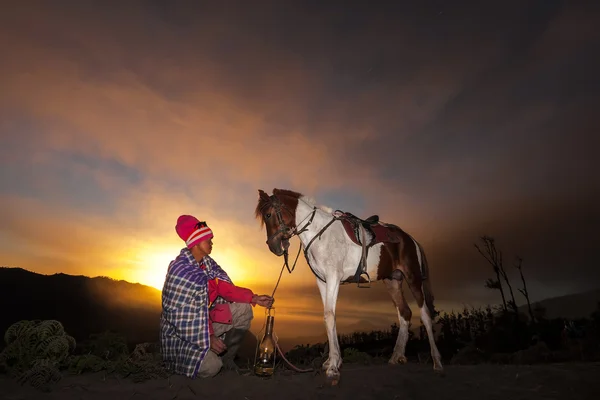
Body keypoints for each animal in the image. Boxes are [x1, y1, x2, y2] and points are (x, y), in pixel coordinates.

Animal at [254, 188, 446, 384]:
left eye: (268, 214)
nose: (273, 247)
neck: (320, 234)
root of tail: (410, 239)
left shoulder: (333, 278)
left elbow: (329, 316)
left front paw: (333, 368)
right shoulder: (322, 282)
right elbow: (330, 317)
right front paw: (334, 361)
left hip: (413, 278)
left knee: (425, 314)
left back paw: (437, 363)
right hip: (393, 281)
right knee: (405, 313)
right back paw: (397, 356)